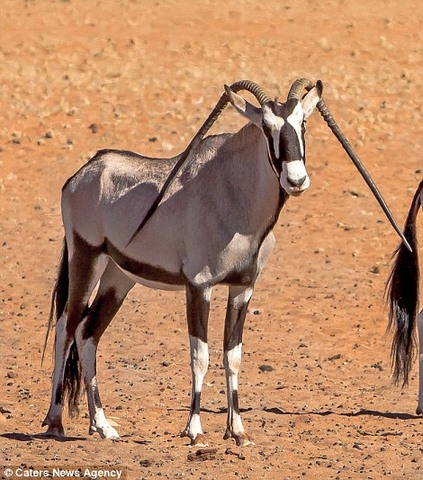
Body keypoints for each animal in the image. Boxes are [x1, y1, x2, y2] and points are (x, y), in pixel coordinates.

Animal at [42, 79, 408, 446]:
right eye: (266, 127)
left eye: (303, 122)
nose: (296, 180)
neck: (234, 196)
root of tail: (83, 174)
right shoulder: (198, 286)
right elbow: (200, 356)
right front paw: (194, 429)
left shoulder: (242, 288)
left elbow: (233, 356)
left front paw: (238, 431)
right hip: (86, 257)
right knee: (66, 327)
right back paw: (56, 421)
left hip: (119, 277)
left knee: (88, 333)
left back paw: (101, 425)